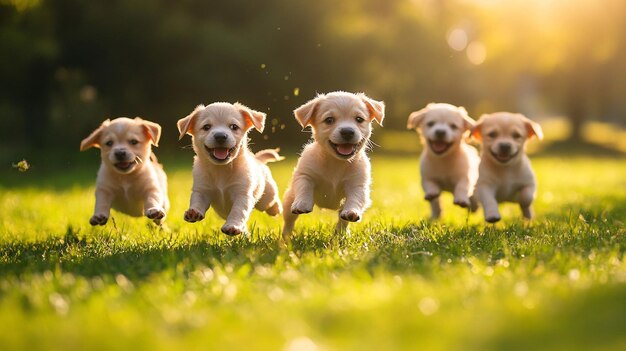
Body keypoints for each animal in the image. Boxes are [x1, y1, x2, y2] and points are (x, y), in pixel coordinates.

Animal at [177, 101, 282, 236]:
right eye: (206, 127)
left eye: (234, 126)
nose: (220, 136)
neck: (221, 169)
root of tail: (258, 160)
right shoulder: (202, 190)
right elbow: (197, 201)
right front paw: (193, 212)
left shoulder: (242, 195)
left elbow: (238, 212)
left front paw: (232, 226)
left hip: (266, 196)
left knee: (271, 201)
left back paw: (276, 209)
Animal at [280, 92, 382, 238]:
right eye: (329, 120)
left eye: (359, 119)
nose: (347, 131)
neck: (336, 162)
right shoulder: (305, 174)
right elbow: (304, 186)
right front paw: (302, 203)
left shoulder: (357, 184)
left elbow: (355, 198)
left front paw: (352, 211)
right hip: (288, 201)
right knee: (288, 221)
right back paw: (286, 237)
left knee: (342, 220)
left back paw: (341, 234)